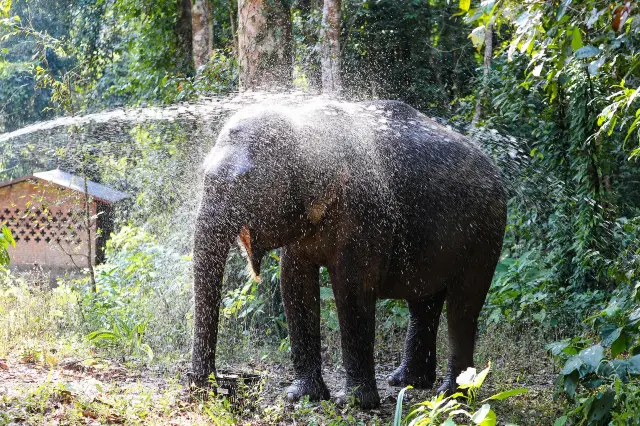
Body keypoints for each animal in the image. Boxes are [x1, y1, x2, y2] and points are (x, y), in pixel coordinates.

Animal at [191, 99, 506, 409]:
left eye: (244, 180)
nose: (214, 388)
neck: (303, 123)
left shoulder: (365, 214)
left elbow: (351, 290)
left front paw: (353, 402)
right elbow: (294, 283)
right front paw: (301, 396)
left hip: (487, 232)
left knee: (463, 306)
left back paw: (454, 395)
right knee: (423, 301)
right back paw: (408, 382)